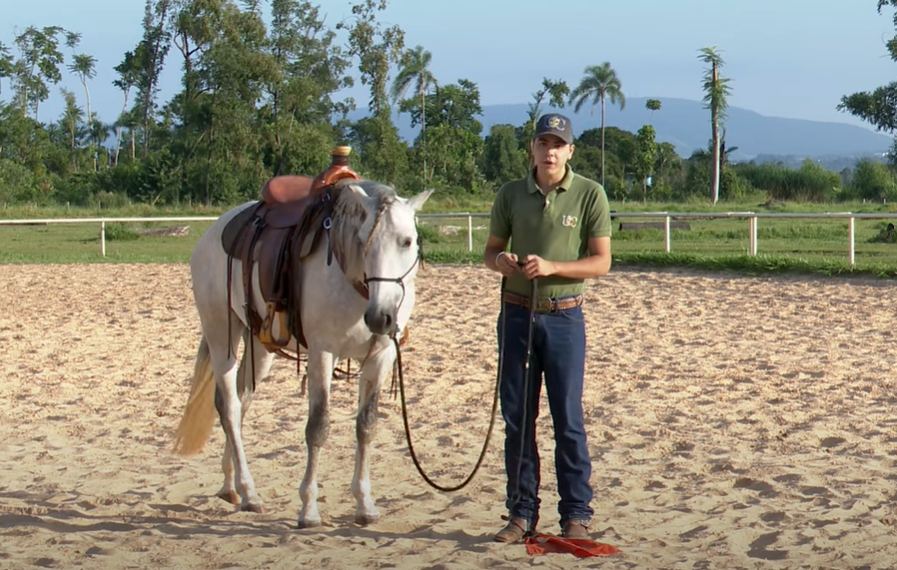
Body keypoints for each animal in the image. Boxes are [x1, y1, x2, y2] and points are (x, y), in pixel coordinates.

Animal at [174, 180, 434, 524]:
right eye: (362, 241)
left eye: (407, 241)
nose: (381, 317)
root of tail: (214, 231)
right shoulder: (321, 354)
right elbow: (318, 427)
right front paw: (309, 509)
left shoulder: (380, 357)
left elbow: (366, 426)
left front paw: (364, 504)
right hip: (221, 335)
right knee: (228, 407)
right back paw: (249, 492)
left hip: (259, 346)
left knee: (242, 403)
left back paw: (234, 487)